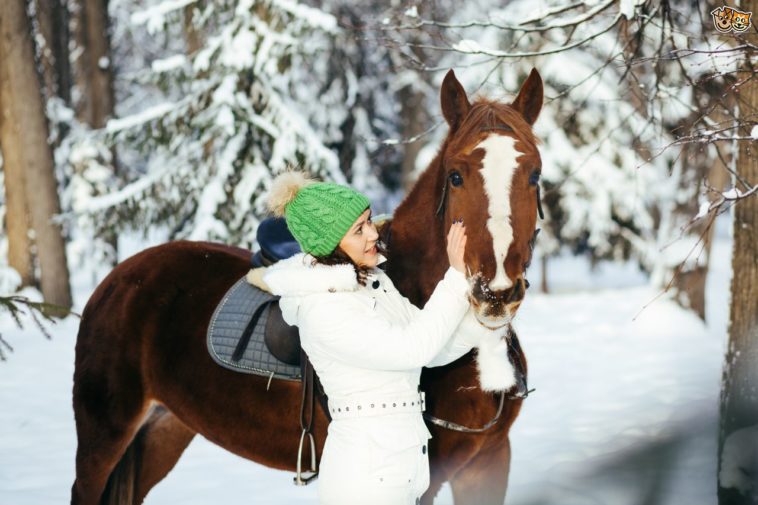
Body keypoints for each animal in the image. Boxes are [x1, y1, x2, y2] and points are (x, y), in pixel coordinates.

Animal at [71, 68, 543, 505]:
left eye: (535, 175)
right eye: (456, 176)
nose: (495, 292)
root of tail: (118, 279)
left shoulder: (488, 461)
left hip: (164, 429)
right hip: (104, 434)